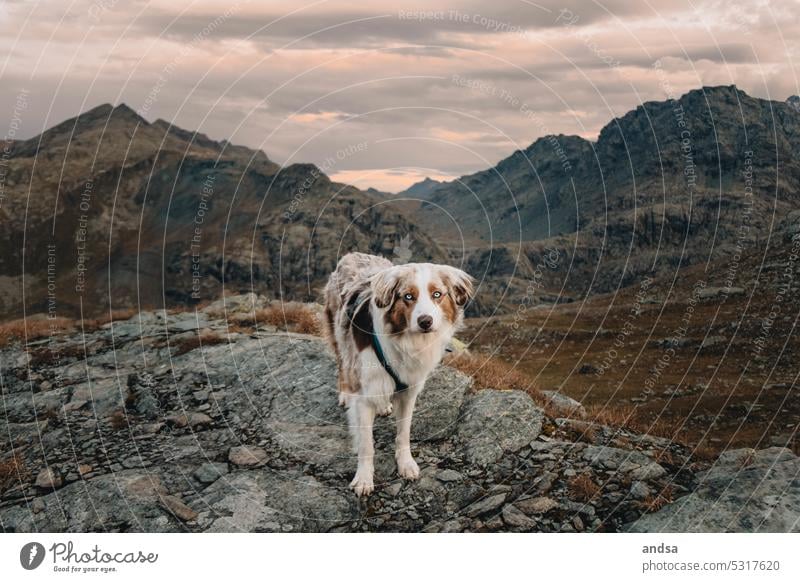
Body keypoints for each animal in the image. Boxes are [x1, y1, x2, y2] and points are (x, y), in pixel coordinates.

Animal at [324, 252, 476, 498]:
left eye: (437, 294)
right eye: (408, 296)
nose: (425, 321)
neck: (406, 340)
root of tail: (354, 254)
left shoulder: (409, 390)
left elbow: (404, 432)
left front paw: (406, 464)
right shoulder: (364, 394)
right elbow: (366, 444)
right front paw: (364, 479)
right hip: (338, 330)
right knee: (341, 362)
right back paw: (345, 393)